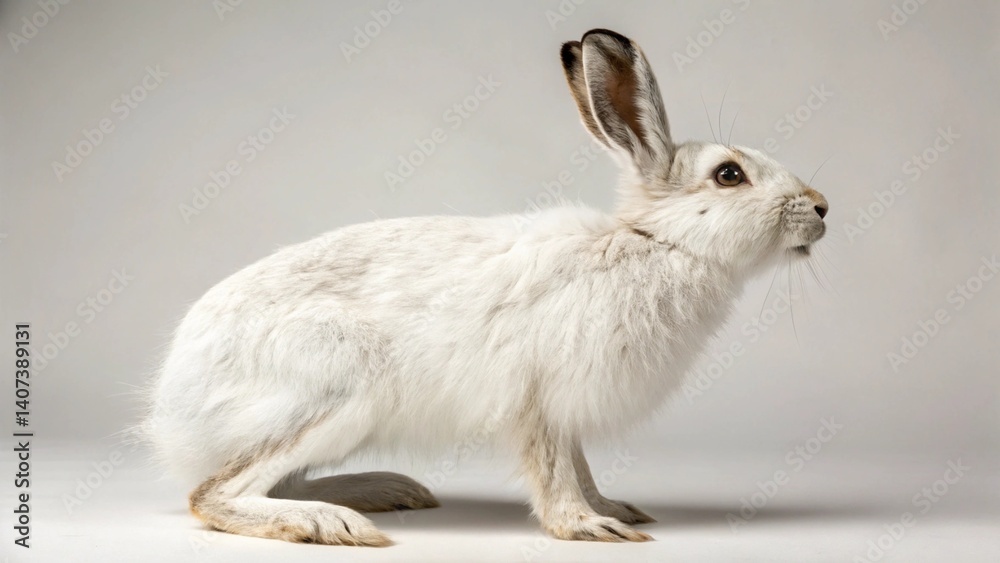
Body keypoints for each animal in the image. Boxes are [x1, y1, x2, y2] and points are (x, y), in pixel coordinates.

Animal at [142, 28, 828, 546]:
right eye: (729, 175)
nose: (822, 207)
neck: (657, 243)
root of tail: (173, 406)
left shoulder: (564, 411)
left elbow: (581, 466)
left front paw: (614, 508)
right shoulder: (538, 400)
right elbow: (554, 472)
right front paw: (587, 528)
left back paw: (385, 491)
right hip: (333, 389)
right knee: (214, 494)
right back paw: (330, 523)